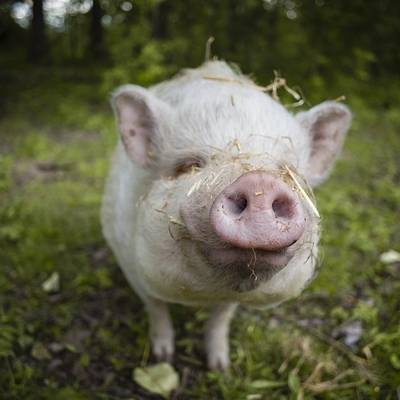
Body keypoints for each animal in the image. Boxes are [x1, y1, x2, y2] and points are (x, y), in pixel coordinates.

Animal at [101, 59, 352, 368]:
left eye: (289, 172)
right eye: (189, 166)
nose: (259, 182)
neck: (204, 294)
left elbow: (222, 316)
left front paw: (220, 367)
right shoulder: (129, 261)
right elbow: (156, 306)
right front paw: (162, 359)